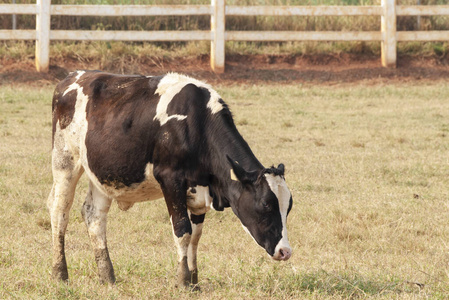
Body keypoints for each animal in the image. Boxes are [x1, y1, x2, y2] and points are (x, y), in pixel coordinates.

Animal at [48, 71, 294, 288]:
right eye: (265, 205)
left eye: (288, 207)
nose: (285, 251)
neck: (196, 124)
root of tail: (72, 77)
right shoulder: (171, 180)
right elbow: (182, 230)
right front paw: (183, 281)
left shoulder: (198, 191)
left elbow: (195, 235)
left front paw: (194, 281)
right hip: (65, 162)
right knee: (60, 212)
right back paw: (60, 273)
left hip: (102, 175)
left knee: (94, 217)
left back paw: (107, 276)